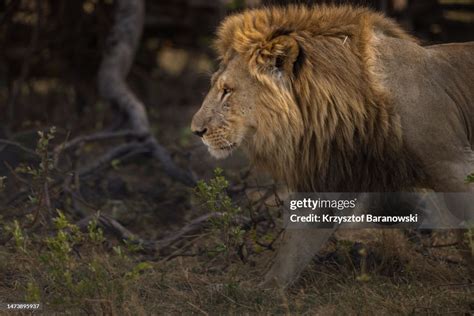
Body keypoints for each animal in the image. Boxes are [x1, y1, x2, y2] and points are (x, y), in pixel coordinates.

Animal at [190, 4, 474, 288]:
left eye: (227, 90)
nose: (196, 131)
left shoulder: (454, 166)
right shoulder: (329, 178)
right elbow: (291, 252)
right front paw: (255, 290)